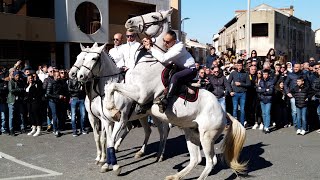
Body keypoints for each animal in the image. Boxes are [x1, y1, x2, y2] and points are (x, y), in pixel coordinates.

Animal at [75, 43, 170, 174]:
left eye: (94, 58)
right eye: (82, 57)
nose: (79, 75)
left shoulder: (120, 120)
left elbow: (109, 139)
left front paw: (111, 164)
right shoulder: (105, 120)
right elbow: (107, 140)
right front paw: (106, 163)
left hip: (157, 116)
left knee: (164, 131)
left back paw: (160, 154)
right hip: (143, 116)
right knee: (149, 131)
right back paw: (141, 152)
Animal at [104, 9, 246, 179]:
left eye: (154, 16)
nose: (129, 22)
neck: (150, 62)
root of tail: (224, 112)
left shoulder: (141, 94)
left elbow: (113, 87)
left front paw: (111, 108)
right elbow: (111, 87)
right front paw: (111, 107)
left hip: (206, 136)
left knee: (211, 161)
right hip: (191, 132)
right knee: (195, 159)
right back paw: (175, 176)